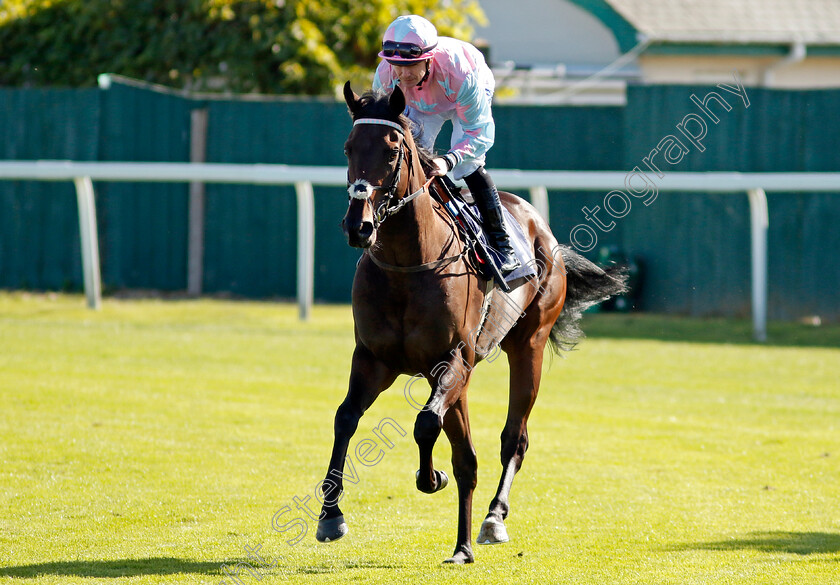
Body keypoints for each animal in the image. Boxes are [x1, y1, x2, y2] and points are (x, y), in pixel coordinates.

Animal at [318, 82, 628, 560]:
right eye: (349, 147)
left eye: (391, 151)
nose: (359, 226)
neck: (408, 264)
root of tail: (543, 230)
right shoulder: (373, 359)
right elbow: (345, 417)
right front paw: (330, 515)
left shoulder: (454, 360)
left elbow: (427, 425)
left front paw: (431, 481)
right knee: (465, 450)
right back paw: (463, 539)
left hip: (528, 344)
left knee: (511, 439)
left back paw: (489, 521)